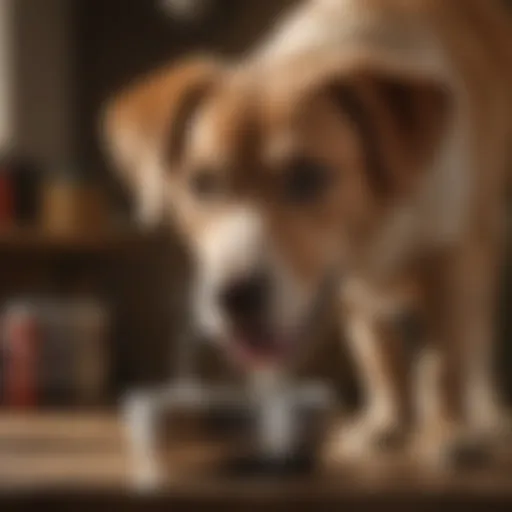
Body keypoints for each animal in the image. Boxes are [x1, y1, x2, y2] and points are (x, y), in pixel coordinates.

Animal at [103, 0, 512, 466]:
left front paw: (447, 432)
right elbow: (378, 354)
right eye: (202, 183)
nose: (235, 299)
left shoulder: (454, 256)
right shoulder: (348, 288)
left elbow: (446, 360)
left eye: (307, 177)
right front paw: (387, 424)